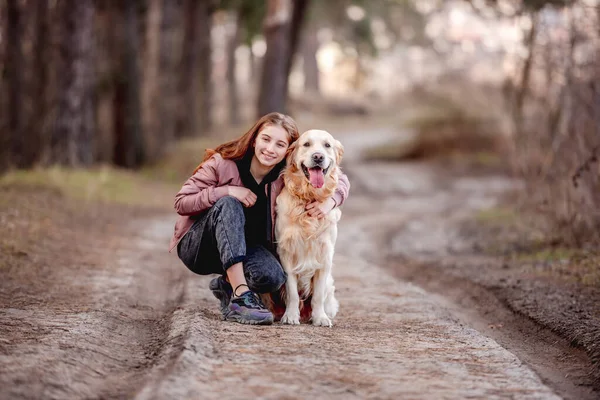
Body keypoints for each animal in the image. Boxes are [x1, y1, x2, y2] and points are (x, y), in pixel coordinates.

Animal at [276, 130, 342, 326]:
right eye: (306, 144)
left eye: (327, 145)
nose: (318, 157)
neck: (309, 196)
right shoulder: (286, 252)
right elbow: (292, 291)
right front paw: (290, 316)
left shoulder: (325, 254)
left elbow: (317, 295)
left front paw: (320, 317)